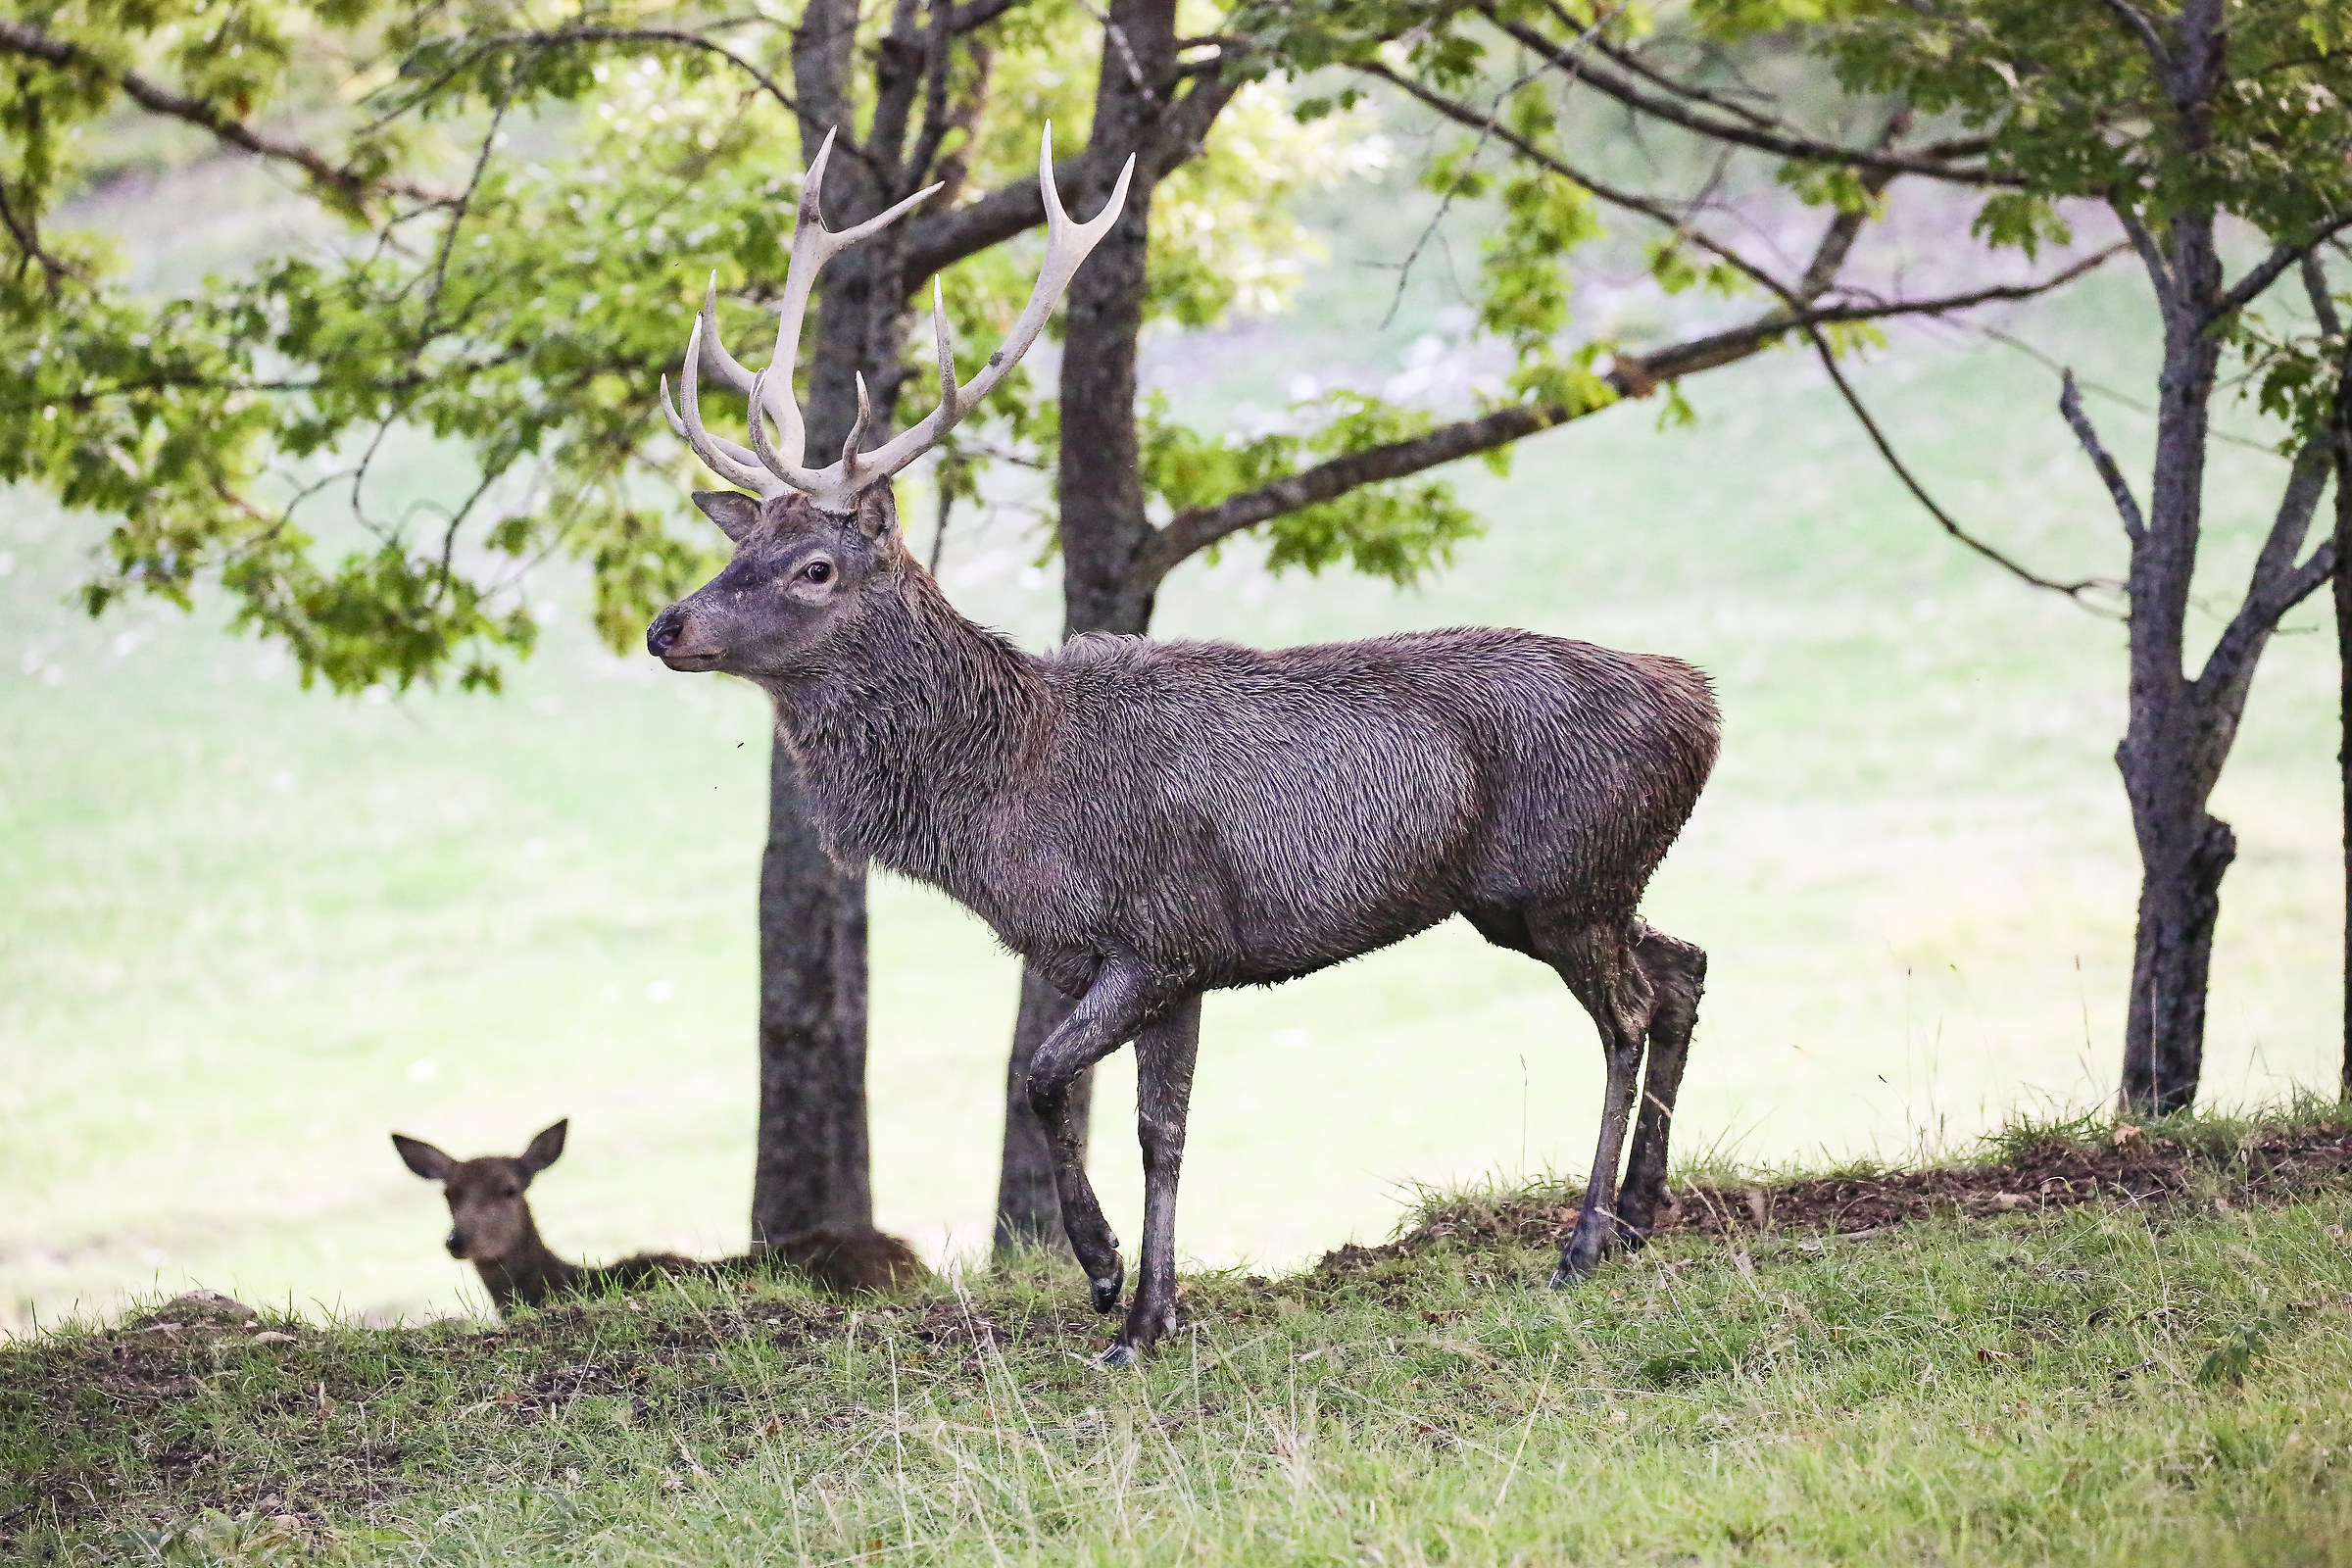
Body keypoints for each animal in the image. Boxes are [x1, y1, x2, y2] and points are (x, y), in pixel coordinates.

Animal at [643, 126, 1719, 1365]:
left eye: (813, 565)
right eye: (737, 548)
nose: (666, 626)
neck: (1013, 806)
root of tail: (1704, 704)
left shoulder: (1163, 932)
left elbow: (1045, 1080)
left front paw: (1108, 1272)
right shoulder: (1147, 960)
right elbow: (1160, 1125)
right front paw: (1151, 1313)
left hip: (1562, 877)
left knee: (1628, 1012)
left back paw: (1584, 1240)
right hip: (1564, 889)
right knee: (1684, 968)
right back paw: (1640, 1213)